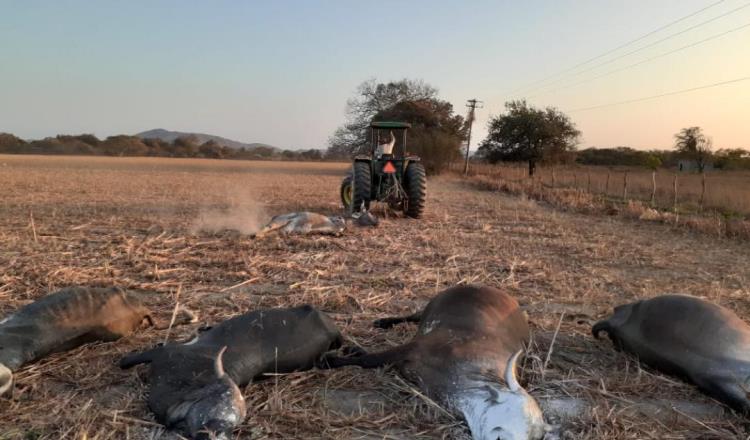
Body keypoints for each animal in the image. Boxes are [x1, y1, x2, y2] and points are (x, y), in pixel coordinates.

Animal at [121, 306, 344, 440]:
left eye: (235, 423)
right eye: (220, 404)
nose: (220, 434)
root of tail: (332, 330)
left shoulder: (164, 353)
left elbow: (124, 361)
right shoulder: (165, 353)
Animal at [320, 286, 548, 440]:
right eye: (502, 433)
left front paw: (352, 350)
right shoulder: (418, 346)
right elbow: (369, 359)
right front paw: (331, 360)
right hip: (432, 304)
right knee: (413, 316)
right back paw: (384, 322)